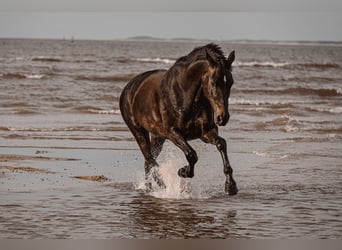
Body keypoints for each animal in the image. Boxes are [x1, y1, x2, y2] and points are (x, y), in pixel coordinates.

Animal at [118, 43, 238, 195]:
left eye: (231, 82)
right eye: (213, 82)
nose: (223, 117)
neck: (186, 95)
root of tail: (129, 87)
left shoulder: (206, 133)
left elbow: (221, 144)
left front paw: (230, 186)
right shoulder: (172, 132)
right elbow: (191, 154)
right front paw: (183, 171)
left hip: (158, 137)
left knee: (148, 161)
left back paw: (150, 187)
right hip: (139, 132)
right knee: (149, 159)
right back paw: (162, 186)